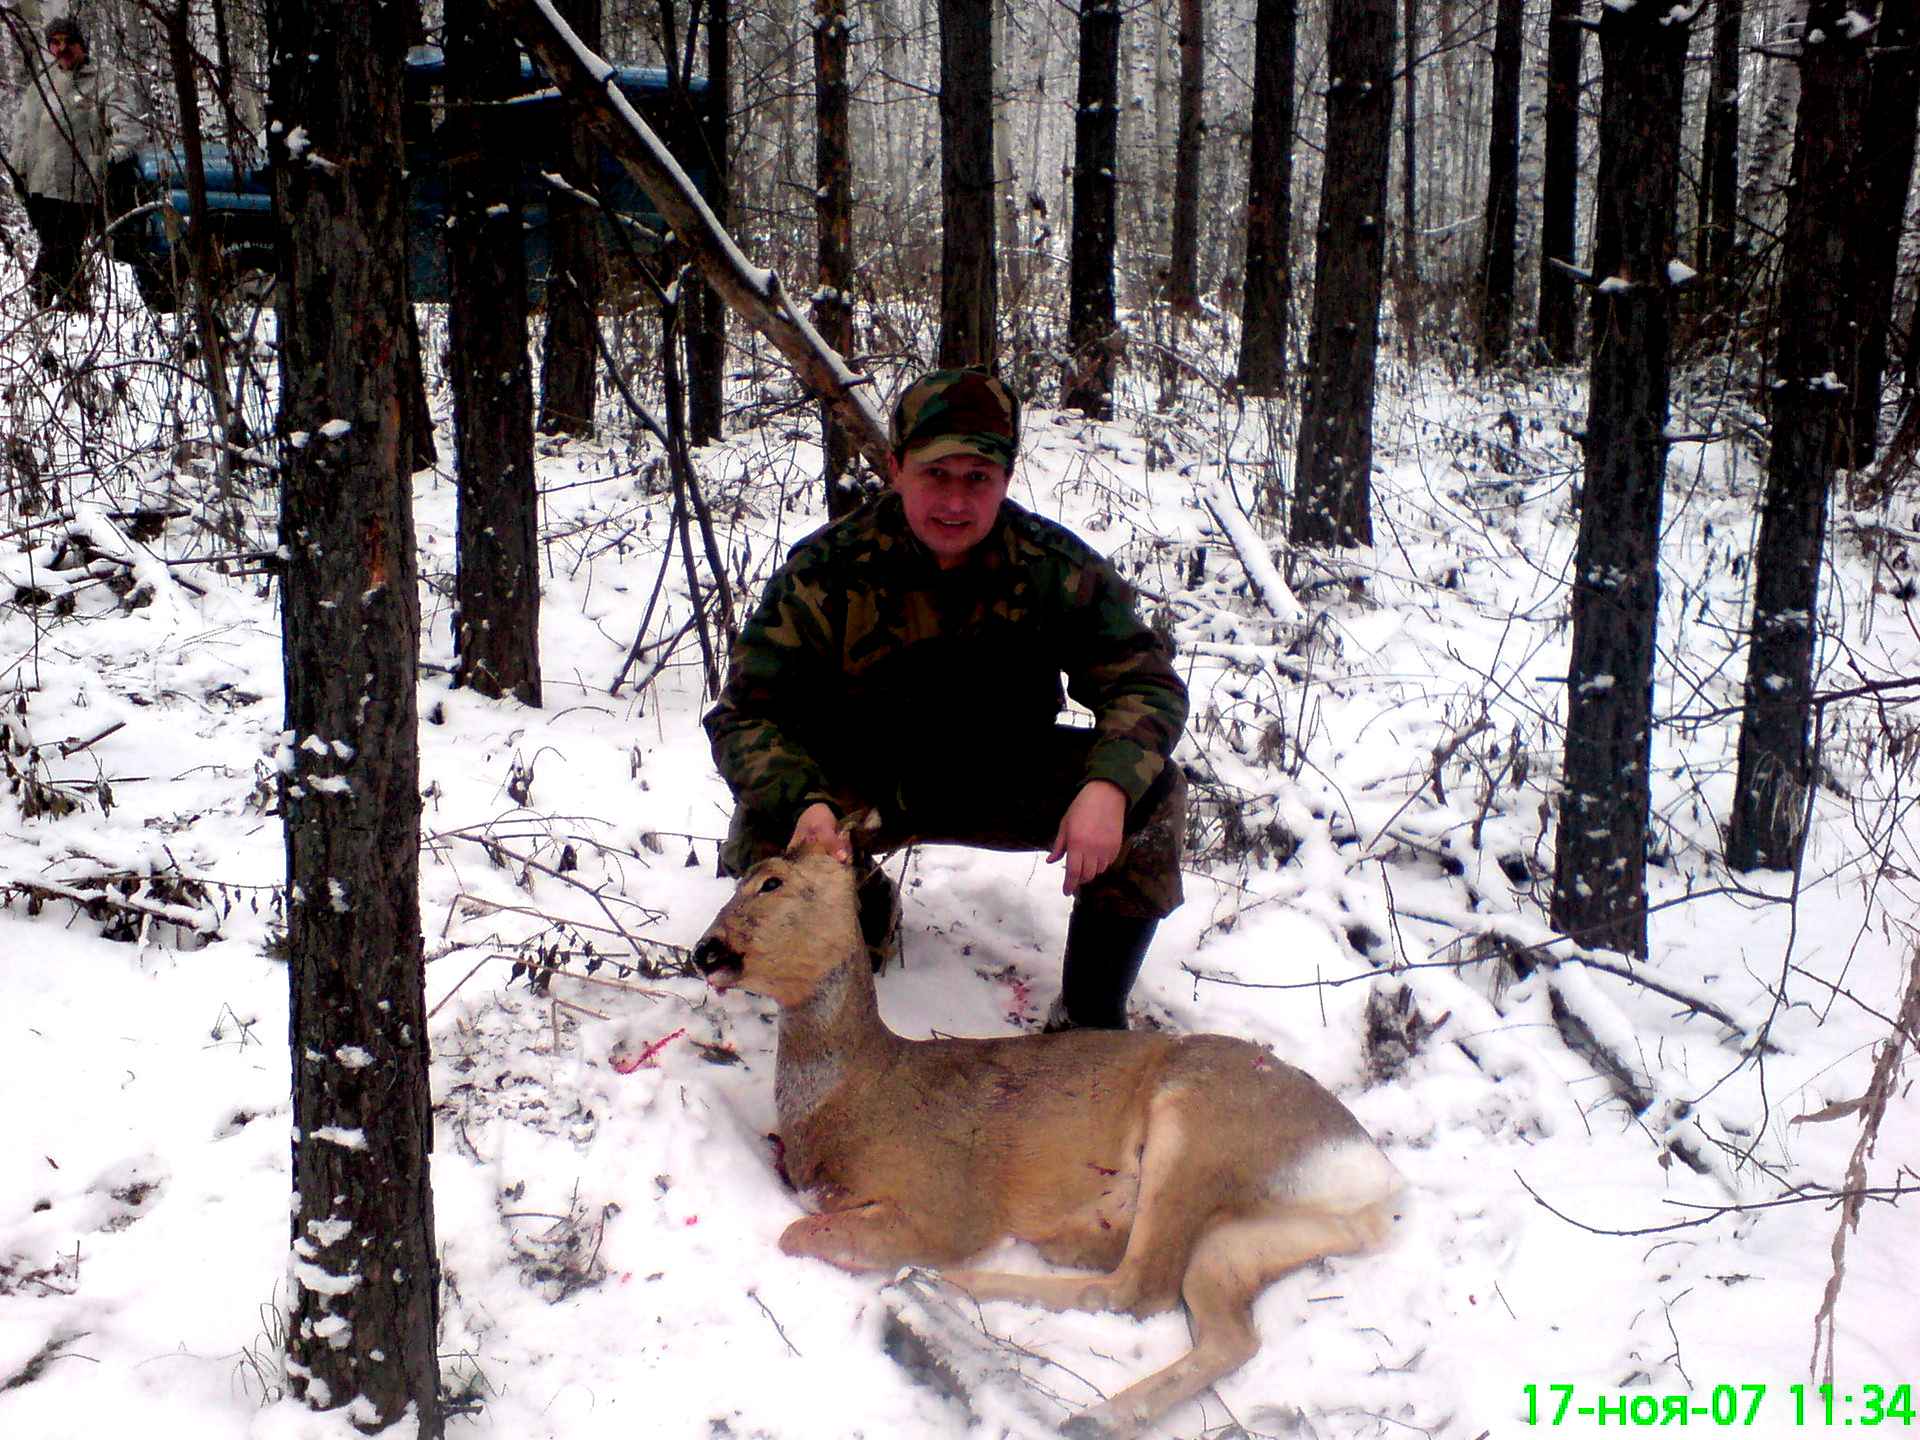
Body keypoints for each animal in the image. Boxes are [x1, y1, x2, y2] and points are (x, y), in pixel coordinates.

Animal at [698, 844, 1405, 1440]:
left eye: (770, 881)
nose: (705, 951)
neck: (858, 1093)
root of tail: (1376, 1180)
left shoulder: (947, 1201)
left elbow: (799, 1233)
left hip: (1198, 1127)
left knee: (1142, 1287)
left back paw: (966, 1293)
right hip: (1247, 1239)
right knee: (1225, 1333)